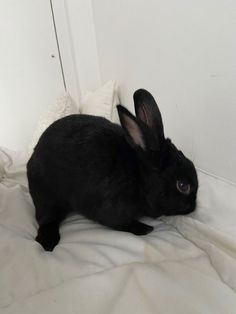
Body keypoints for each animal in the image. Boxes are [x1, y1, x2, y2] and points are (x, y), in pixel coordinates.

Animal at [26, 88, 198, 250]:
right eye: (183, 186)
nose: (194, 205)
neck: (139, 176)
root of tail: (32, 158)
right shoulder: (111, 210)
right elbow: (121, 223)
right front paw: (145, 228)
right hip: (46, 196)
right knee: (46, 219)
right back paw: (48, 242)